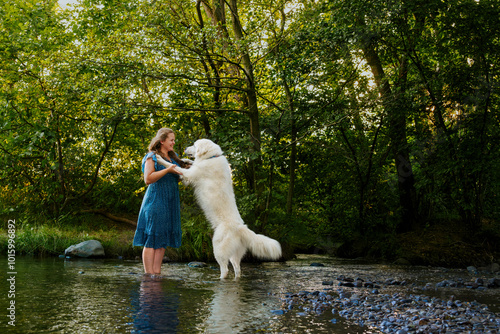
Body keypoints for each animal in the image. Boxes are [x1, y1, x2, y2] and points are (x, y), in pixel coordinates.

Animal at [156, 138, 282, 280]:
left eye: (194, 145)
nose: (184, 149)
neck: (211, 157)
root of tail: (241, 227)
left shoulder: (189, 175)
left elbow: (174, 167)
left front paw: (159, 158)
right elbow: (190, 163)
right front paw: (186, 160)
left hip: (218, 248)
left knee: (225, 269)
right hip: (234, 254)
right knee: (237, 269)